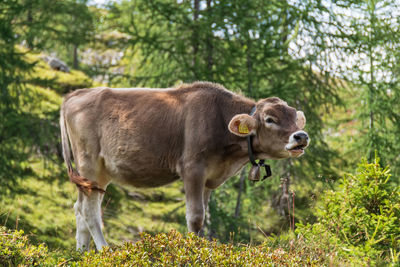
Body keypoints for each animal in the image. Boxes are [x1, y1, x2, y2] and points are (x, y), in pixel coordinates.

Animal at [60, 81, 310, 251]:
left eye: (294, 119)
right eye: (269, 119)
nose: (301, 136)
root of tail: (75, 94)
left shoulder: (210, 177)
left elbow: (203, 216)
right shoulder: (192, 168)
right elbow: (196, 216)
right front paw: (193, 250)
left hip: (98, 174)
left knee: (79, 208)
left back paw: (83, 254)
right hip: (89, 163)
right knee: (89, 211)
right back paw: (105, 250)